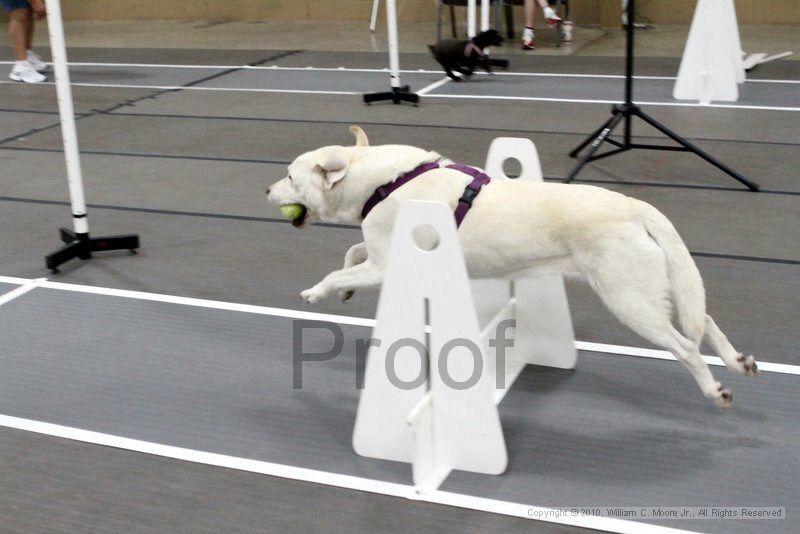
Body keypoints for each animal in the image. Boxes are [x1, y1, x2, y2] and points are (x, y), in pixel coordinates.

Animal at [268, 127, 756, 408]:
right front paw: (346, 291)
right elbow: (351, 254)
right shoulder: (379, 255)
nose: (266, 190)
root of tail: (636, 207)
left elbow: (339, 269)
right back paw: (739, 361)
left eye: (291, 177)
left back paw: (715, 389)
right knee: (705, 320)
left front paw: (318, 292)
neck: (382, 180)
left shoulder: (388, 265)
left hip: (629, 300)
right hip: (657, 289)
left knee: (686, 345)